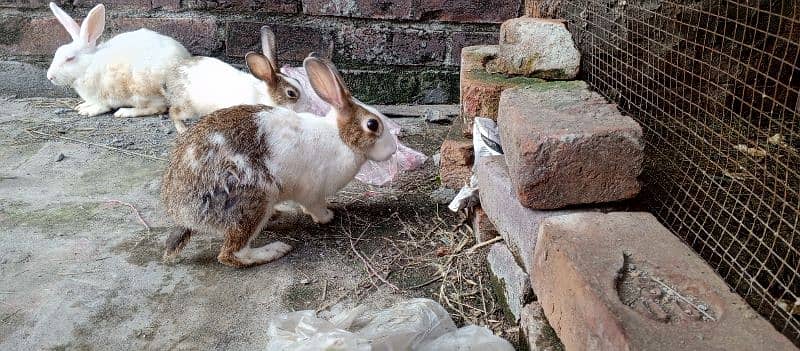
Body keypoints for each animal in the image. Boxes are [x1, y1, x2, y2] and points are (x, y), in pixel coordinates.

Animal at [46, 2, 189, 118]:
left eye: (70, 58)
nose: (49, 77)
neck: (88, 65)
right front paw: (83, 105)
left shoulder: (104, 95)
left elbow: (102, 106)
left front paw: (87, 111)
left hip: (143, 90)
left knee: (158, 107)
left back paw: (124, 112)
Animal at [161, 56, 398, 268]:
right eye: (372, 124)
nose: (393, 149)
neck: (341, 137)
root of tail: (184, 215)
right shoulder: (313, 192)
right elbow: (315, 207)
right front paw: (327, 216)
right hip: (254, 199)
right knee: (231, 254)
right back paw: (274, 250)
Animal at [164, 26, 302, 133]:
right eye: (291, 93)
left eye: (298, 81)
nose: (303, 106)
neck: (265, 96)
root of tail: (171, 74)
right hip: (188, 107)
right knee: (173, 112)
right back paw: (183, 129)